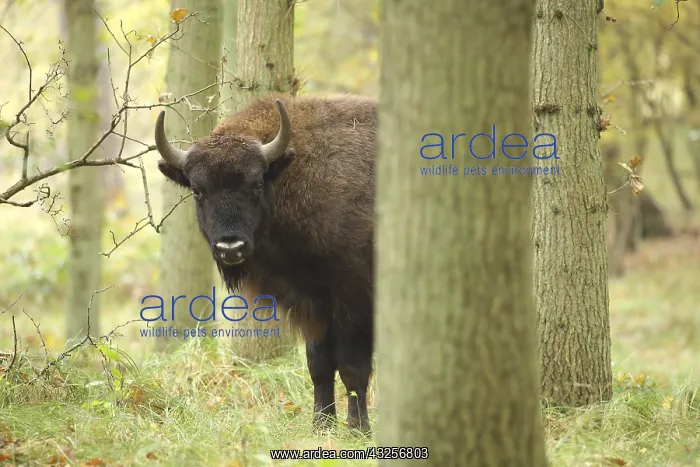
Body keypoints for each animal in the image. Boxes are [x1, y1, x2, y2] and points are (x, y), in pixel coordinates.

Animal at [155, 94, 376, 433]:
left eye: (256, 183)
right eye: (197, 190)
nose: (230, 247)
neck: (290, 174)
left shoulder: (354, 299)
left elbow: (352, 368)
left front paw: (358, 429)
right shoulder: (314, 304)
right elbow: (319, 365)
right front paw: (321, 425)